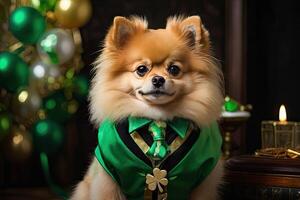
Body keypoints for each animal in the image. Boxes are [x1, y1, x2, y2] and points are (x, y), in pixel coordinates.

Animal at [71, 15, 224, 200]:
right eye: (141, 69)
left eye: (174, 69)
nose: (158, 79)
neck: (157, 118)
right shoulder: (109, 174)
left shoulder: (203, 178)